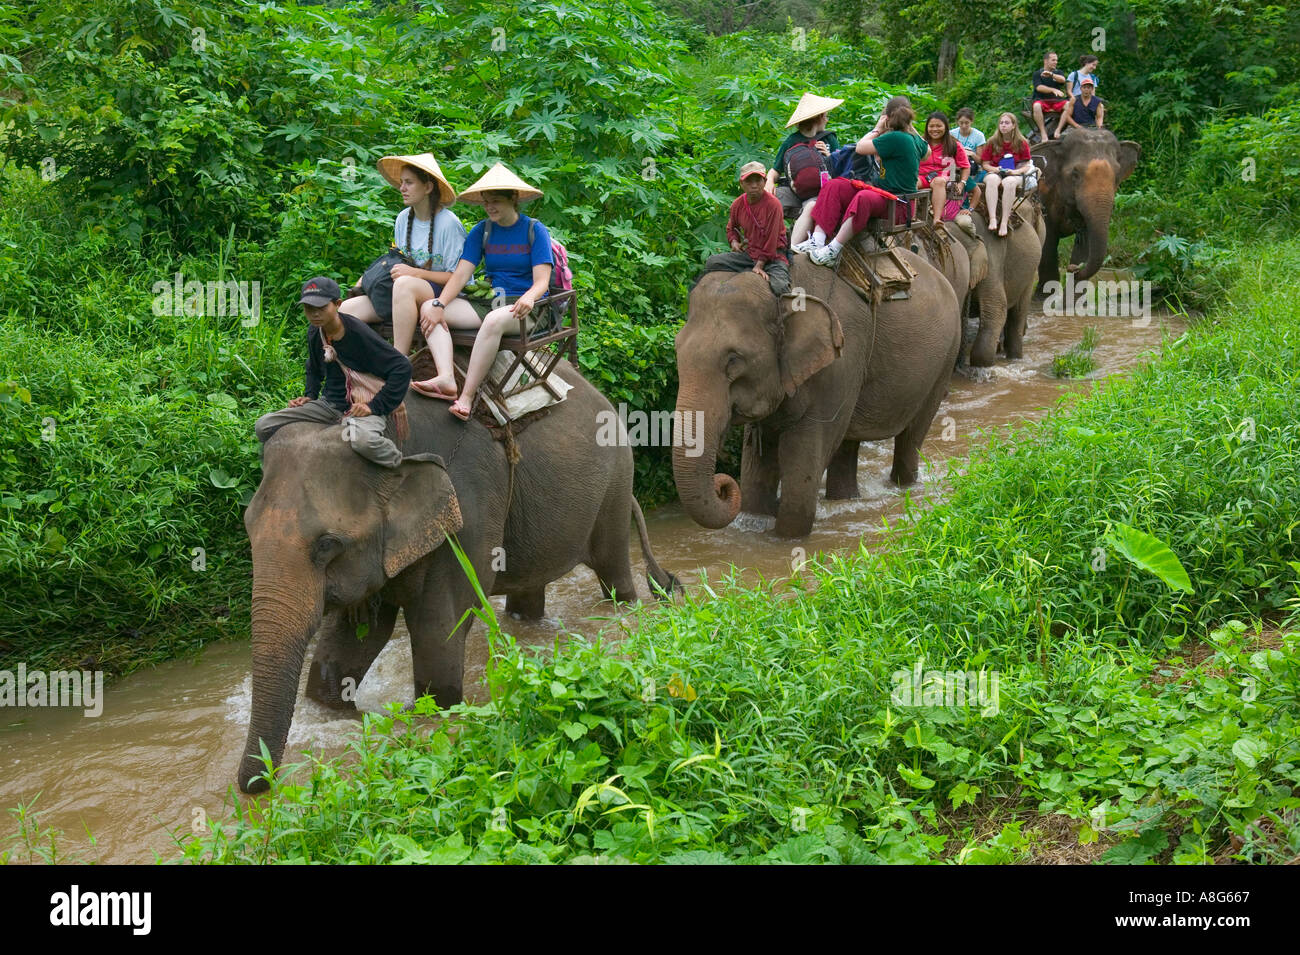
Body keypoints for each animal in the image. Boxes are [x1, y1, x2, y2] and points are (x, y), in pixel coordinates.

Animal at [237, 361, 676, 795]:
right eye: (247, 527)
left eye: (327, 544)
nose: (255, 787)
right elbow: (355, 639)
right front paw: (331, 706)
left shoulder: (469, 512)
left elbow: (439, 631)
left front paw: (431, 713)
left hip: (615, 484)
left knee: (613, 571)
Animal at [676, 250, 961, 540]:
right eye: (676, 350)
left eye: (734, 360)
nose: (723, 484)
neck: (786, 292)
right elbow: (759, 453)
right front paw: (755, 522)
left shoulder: (841, 359)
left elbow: (803, 452)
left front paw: (787, 538)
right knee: (847, 442)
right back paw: (846, 500)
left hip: (946, 357)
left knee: (912, 434)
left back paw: (904, 487)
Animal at [1029, 128, 1144, 291]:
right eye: (1075, 174)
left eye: (1117, 176)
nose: (1072, 269)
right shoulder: (1043, 196)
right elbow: (1048, 241)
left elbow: (1085, 243)